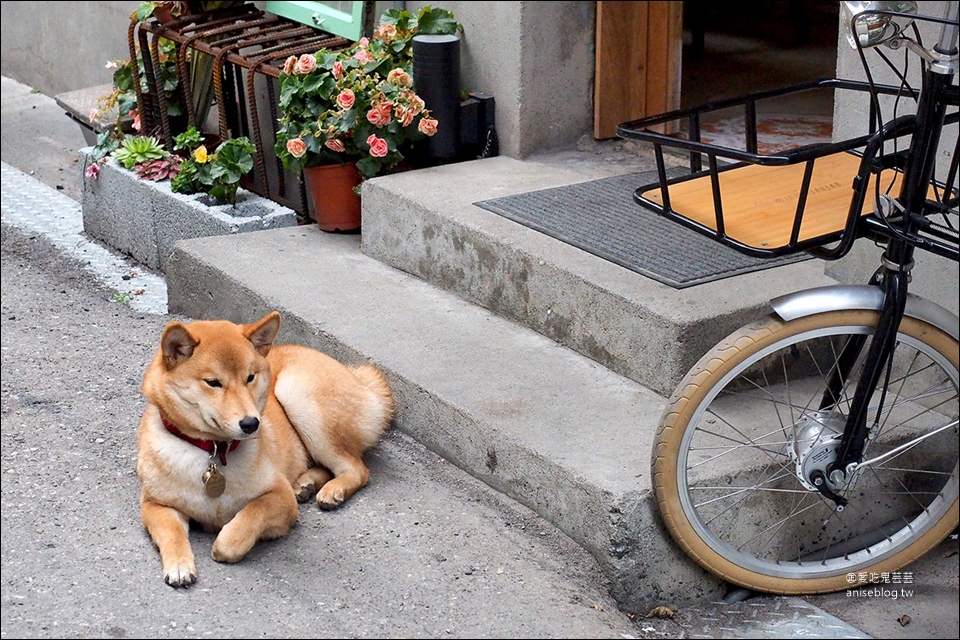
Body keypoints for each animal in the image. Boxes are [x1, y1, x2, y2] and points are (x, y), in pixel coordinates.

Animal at [136, 312, 394, 588]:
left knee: (356, 469)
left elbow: (249, 517)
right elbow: (171, 533)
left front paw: (226, 541)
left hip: (299, 396)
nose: (251, 423)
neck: (214, 450)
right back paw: (305, 484)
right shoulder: (155, 504)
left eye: (250, 377)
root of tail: (358, 378)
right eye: (213, 383)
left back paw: (332, 490)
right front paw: (179, 564)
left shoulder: (279, 497)